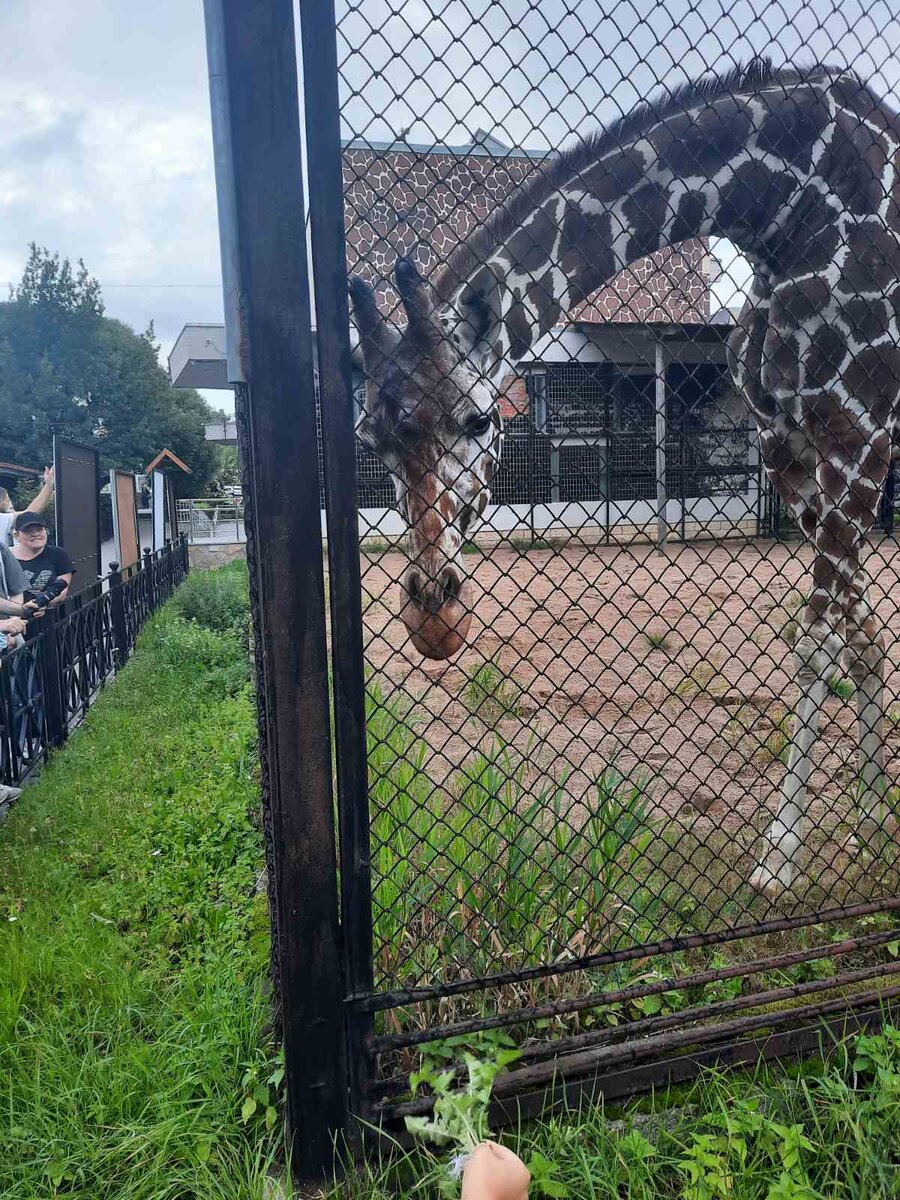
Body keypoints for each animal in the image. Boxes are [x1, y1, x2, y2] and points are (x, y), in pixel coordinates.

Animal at [350, 60, 900, 897]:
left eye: (477, 421)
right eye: (369, 437)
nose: (433, 618)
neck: (785, 209)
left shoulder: (858, 429)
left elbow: (817, 644)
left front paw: (779, 856)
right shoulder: (792, 450)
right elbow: (862, 631)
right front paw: (872, 815)